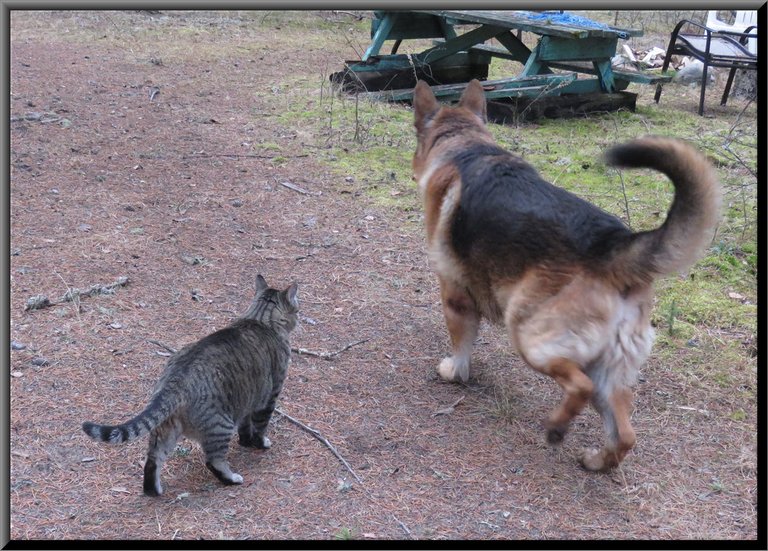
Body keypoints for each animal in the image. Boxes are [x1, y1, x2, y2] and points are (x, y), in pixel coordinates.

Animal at [82, 276, 298, 496]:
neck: (261, 318)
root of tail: (175, 381)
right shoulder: (270, 395)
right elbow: (261, 426)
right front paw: (260, 443)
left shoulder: (247, 400)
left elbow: (246, 426)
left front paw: (246, 441)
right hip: (220, 425)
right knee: (213, 460)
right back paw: (231, 478)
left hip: (165, 430)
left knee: (152, 460)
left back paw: (154, 490)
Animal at [414, 80, 720, 472]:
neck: (467, 146)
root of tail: (615, 247)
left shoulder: (455, 296)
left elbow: (461, 347)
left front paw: (454, 372)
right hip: (608, 373)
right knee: (625, 436)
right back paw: (596, 460)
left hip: (529, 337)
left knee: (580, 387)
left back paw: (556, 429)